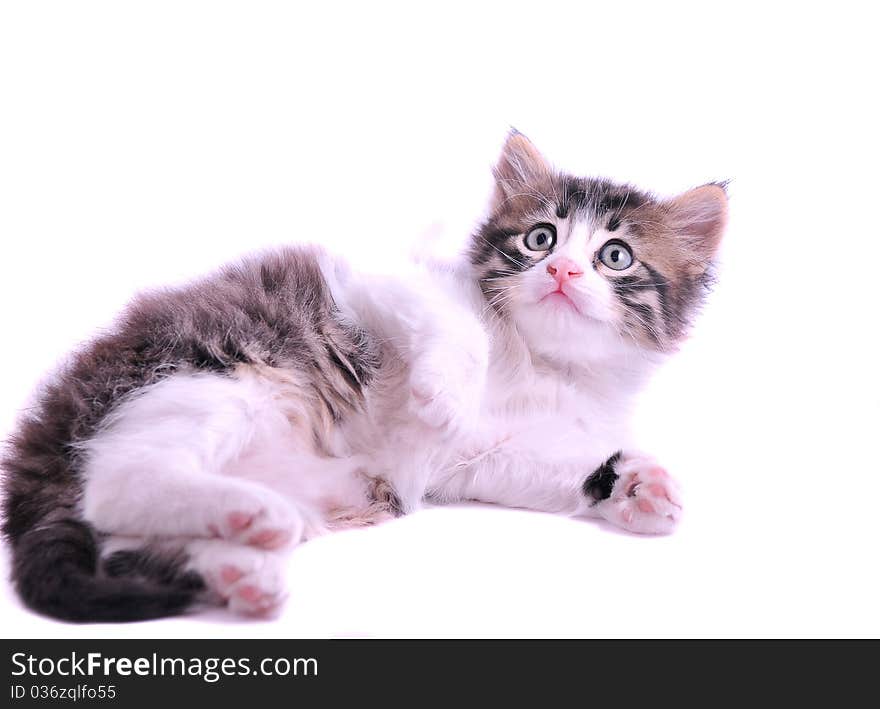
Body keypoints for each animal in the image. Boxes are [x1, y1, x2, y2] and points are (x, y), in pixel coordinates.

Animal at [1, 133, 728, 620]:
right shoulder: (383, 284)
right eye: (540, 239)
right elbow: (460, 333)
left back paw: (239, 565)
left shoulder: (489, 457)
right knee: (118, 482)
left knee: (120, 531)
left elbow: (553, 467)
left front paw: (636, 484)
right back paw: (247, 517)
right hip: (216, 377)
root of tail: (47, 423)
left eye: (615, 255)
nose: (562, 270)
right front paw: (444, 397)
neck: (542, 360)